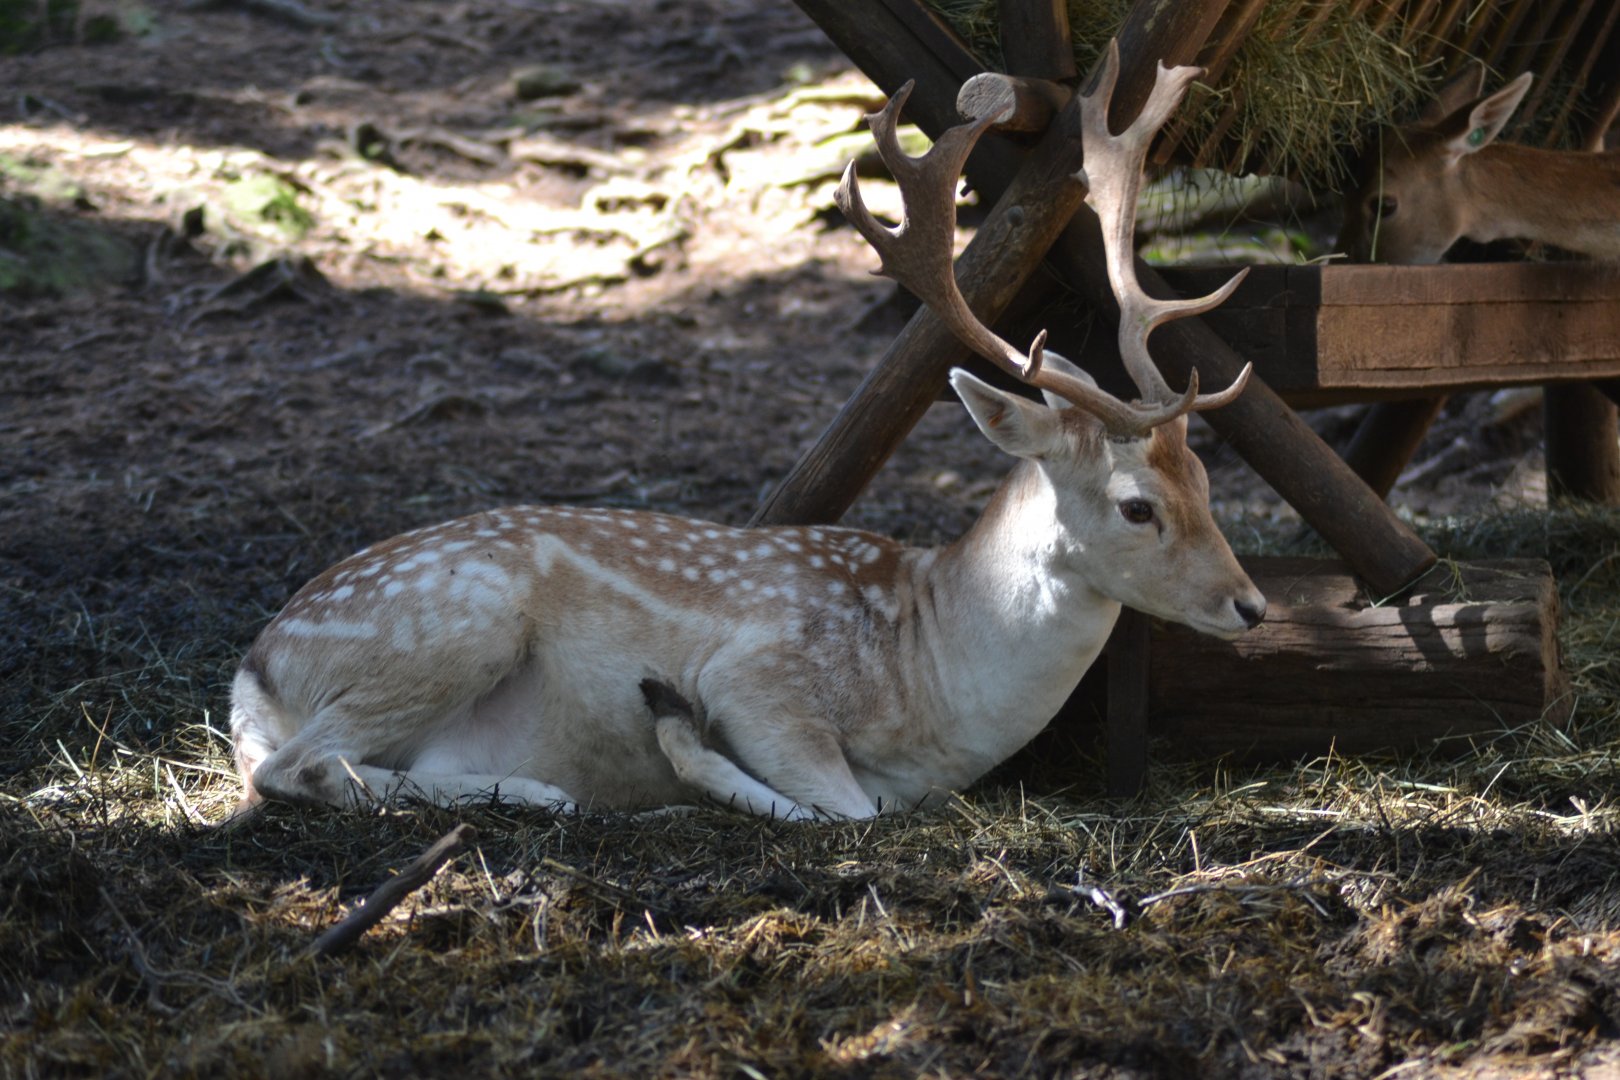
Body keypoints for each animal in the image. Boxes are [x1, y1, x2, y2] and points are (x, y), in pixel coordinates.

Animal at [228, 43, 1265, 822]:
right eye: (1136, 507)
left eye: (1209, 482)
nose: (1251, 606)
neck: (930, 684)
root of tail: (257, 668)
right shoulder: (759, 677)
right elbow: (842, 810)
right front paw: (681, 746)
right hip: (454, 622)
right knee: (290, 769)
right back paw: (544, 791)